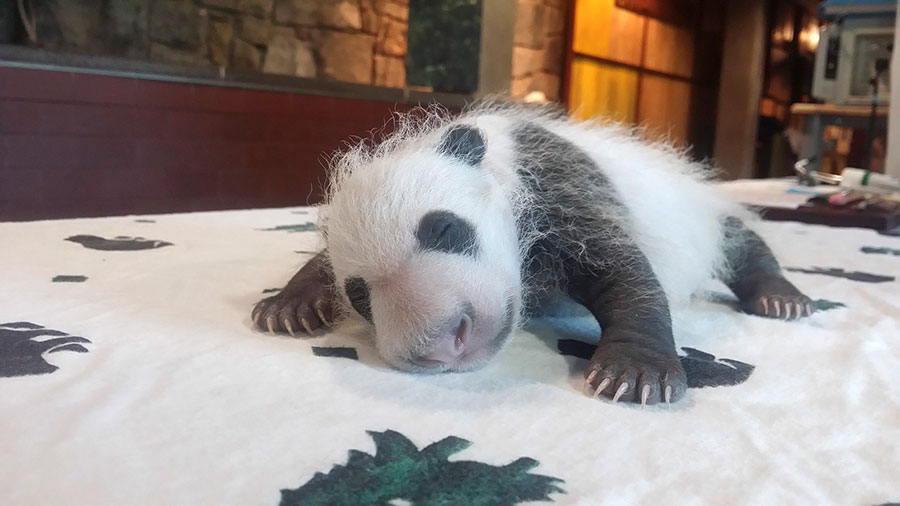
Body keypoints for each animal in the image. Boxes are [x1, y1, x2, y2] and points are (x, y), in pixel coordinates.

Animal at [251, 101, 813, 406]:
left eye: (445, 229)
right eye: (360, 297)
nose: (443, 343)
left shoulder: (557, 184)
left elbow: (624, 271)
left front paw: (634, 372)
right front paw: (288, 305)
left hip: (700, 212)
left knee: (741, 241)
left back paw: (780, 297)